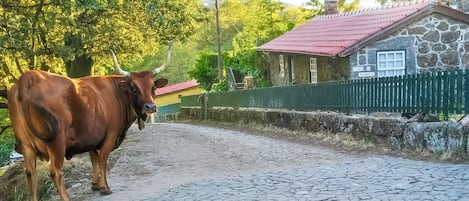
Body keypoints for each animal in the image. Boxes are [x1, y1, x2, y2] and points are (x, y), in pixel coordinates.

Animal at [6, 44, 172, 201]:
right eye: (134, 88)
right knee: (55, 171)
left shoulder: (92, 137)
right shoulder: (110, 134)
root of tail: (29, 76)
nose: (151, 107)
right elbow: (103, 159)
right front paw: (105, 187)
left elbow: (94, 159)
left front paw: (95, 184)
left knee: (31, 173)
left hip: (26, 145)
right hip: (57, 142)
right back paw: (67, 197)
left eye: (153, 87)